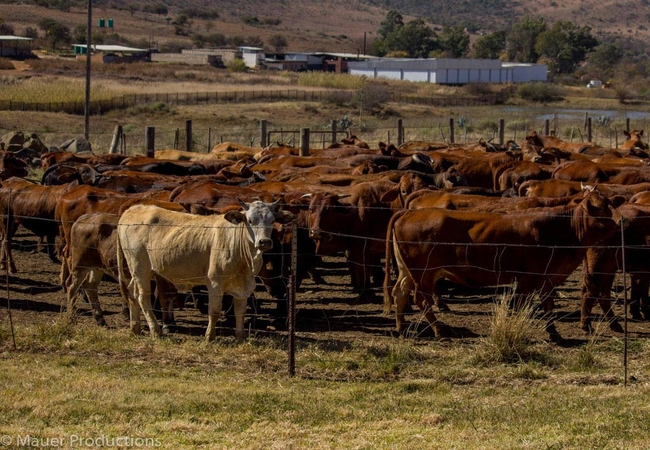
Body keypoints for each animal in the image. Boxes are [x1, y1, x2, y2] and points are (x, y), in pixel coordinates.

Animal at [116, 200, 295, 339]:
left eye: (272, 220)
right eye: (250, 220)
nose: (264, 242)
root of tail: (132, 210)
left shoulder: (243, 286)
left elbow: (240, 311)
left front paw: (240, 337)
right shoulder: (215, 283)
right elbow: (214, 311)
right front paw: (210, 337)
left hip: (136, 271)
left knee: (131, 293)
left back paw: (135, 328)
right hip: (141, 269)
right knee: (143, 298)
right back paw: (156, 331)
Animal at [383, 189, 625, 340]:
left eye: (611, 203)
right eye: (598, 207)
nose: (621, 220)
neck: (558, 227)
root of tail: (407, 212)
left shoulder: (547, 277)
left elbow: (547, 305)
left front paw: (554, 332)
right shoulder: (528, 278)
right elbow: (521, 305)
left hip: (407, 271)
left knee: (400, 293)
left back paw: (402, 327)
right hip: (423, 273)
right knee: (421, 299)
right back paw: (439, 330)